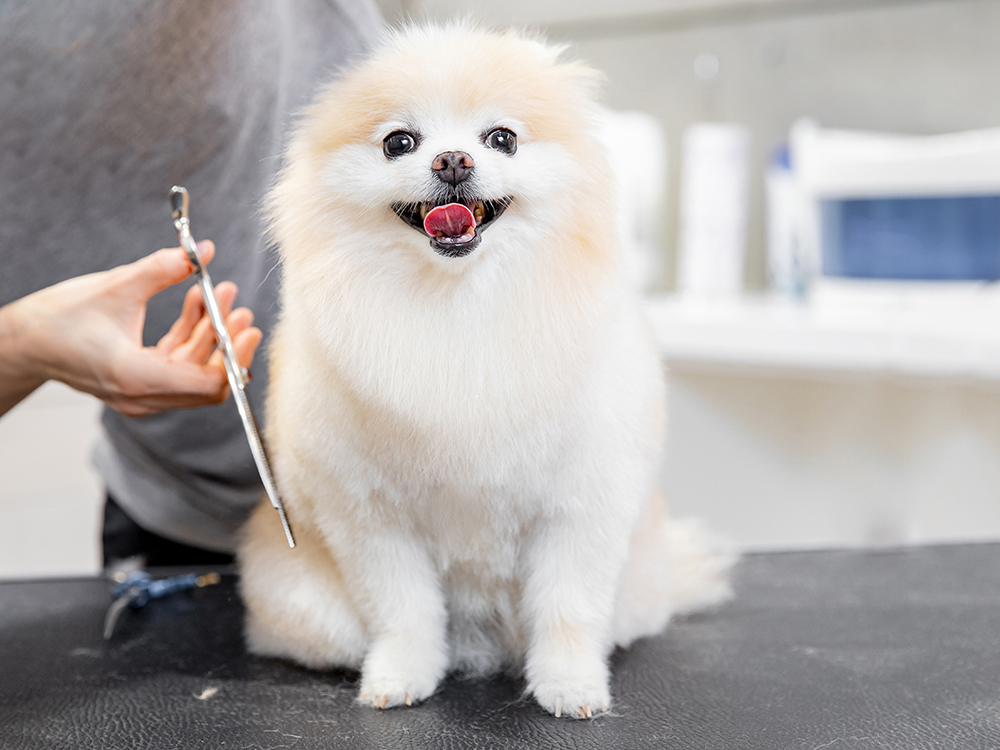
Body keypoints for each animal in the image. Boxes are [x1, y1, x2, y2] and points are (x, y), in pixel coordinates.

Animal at [238, 20, 732, 720]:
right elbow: (404, 608)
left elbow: (568, 605)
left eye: (502, 138)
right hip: (308, 606)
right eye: (399, 142)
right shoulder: (369, 514)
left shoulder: (583, 502)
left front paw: (570, 684)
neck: (461, 301)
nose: (452, 160)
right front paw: (400, 674)